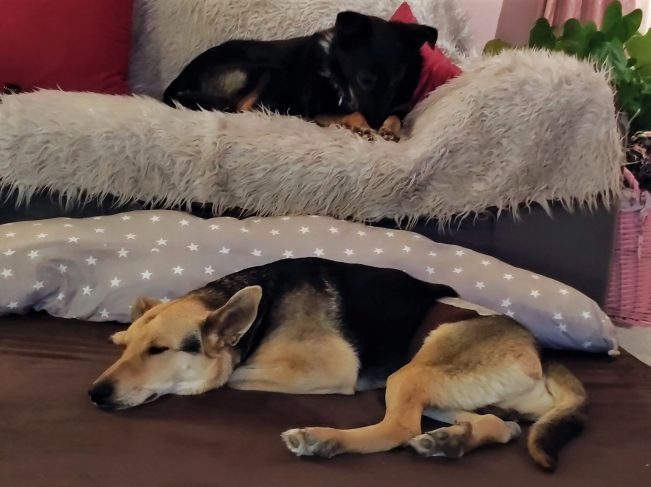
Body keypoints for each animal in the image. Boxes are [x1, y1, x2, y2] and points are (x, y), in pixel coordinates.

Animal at [89, 257, 587, 470]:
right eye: (124, 348)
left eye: (158, 351)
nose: (95, 394)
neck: (260, 311)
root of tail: (540, 350)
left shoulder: (326, 369)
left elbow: (229, 377)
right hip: (441, 388)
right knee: (502, 426)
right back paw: (451, 442)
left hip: (412, 371)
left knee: (398, 428)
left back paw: (324, 440)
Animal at [163, 11, 438, 142]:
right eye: (364, 80)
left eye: (395, 82)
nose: (375, 121)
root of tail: (177, 83)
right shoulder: (321, 111)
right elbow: (354, 113)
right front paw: (361, 126)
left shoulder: (400, 104)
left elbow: (395, 115)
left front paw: (389, 128)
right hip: (268, 69)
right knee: (243, 108)